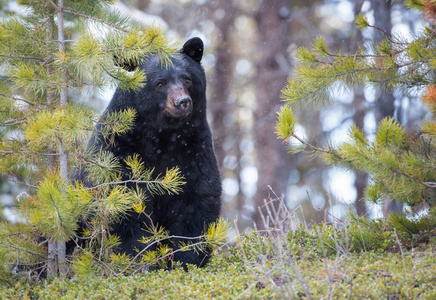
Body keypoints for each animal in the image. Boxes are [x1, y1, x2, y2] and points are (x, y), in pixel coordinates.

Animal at [81, 37, 221, 270]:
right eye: (160, 82)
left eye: (187, 79)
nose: (182, 102)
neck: (163, 138)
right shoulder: (119, 150)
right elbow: (125, 208)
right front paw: (137, 260)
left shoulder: (194, 150)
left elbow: (198, 201)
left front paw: (187, 261)